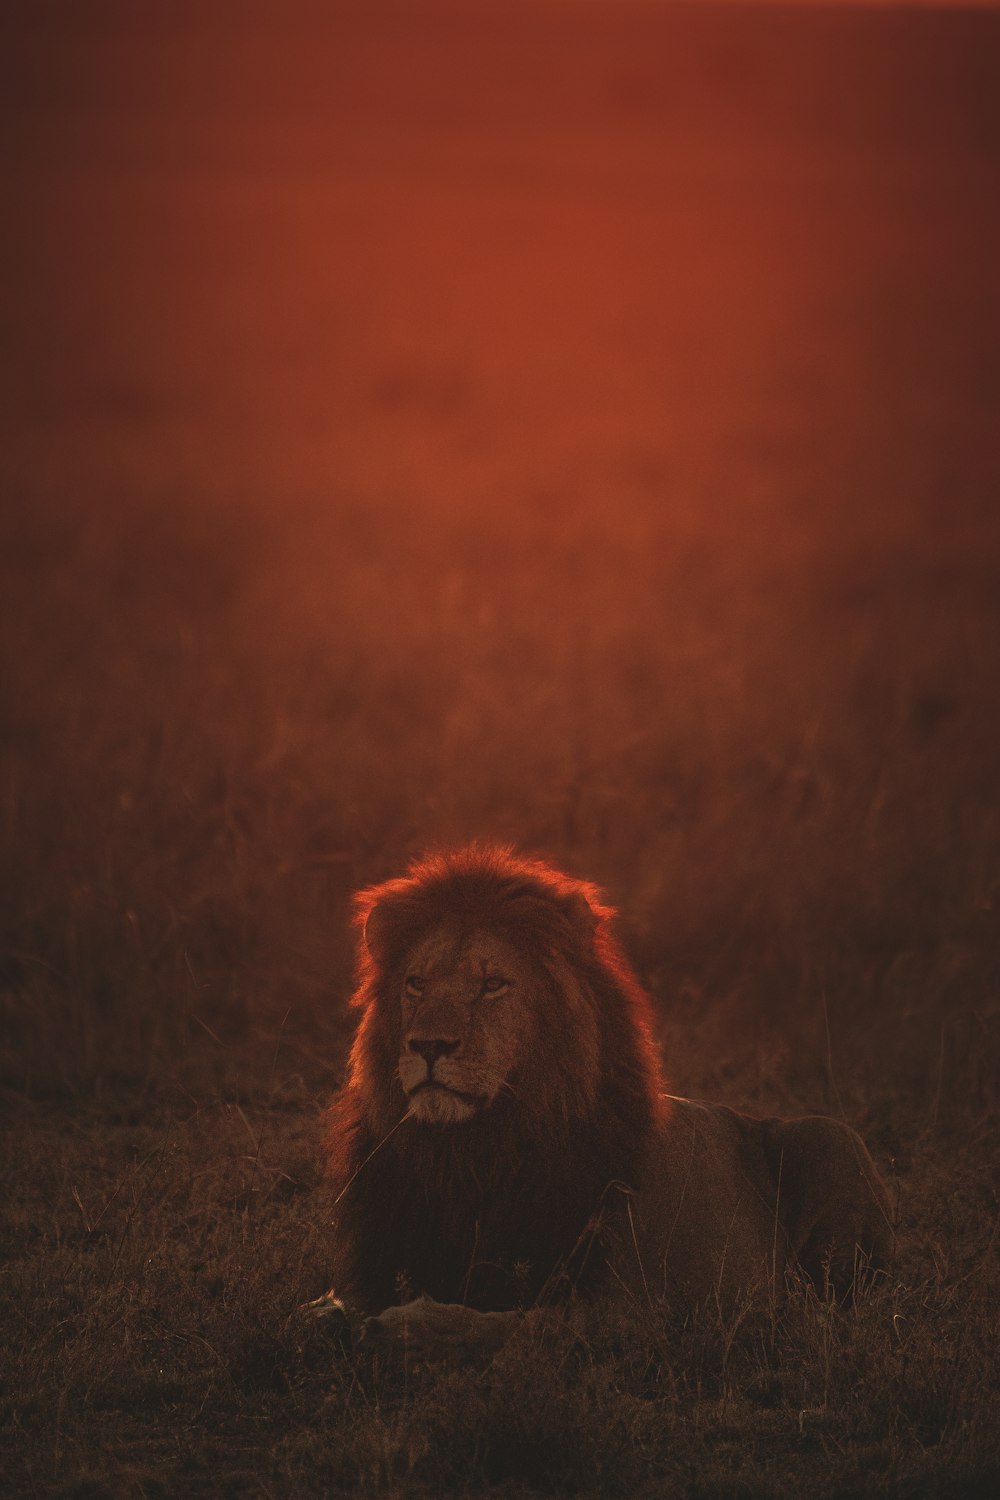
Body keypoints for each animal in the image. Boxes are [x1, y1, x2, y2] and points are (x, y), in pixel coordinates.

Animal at [312, 845, 892, 1349]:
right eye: (416, 983)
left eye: (493, 984)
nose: (429, 1045)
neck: (472, 1155)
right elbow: (327, 1306)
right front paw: (338, 1318)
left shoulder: (633, 1308)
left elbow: (514, 1324)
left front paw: (406, 1325)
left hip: (833, 1138)